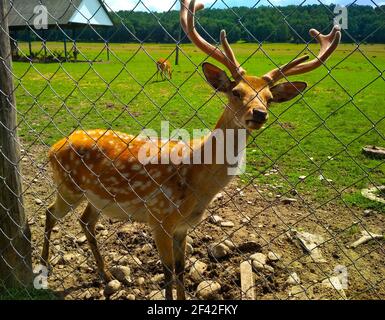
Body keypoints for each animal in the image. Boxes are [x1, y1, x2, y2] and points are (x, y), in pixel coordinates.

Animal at [40, 0, 340, 300]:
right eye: (236, 92)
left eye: (268, 98)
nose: (259, 113)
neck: (198, 183)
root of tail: (53, 147)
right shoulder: (159, 218)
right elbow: (167, 273)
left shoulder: (183, 227)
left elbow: (181, 269)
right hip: (68, 186)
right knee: (50, 213)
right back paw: (43, 269)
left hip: (95, 198)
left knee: (85, 222)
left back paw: (103, 275)